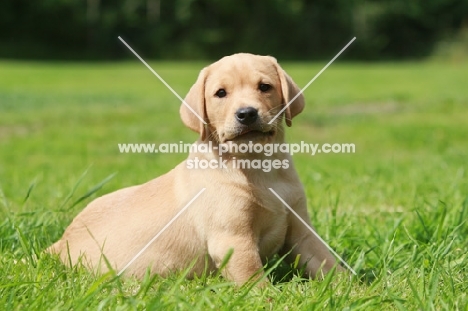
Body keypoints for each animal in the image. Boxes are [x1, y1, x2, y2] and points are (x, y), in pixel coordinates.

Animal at [47, 53, 342, 286]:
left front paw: (350, 289)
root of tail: (58, 244)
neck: (257, 166)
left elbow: (328, 264)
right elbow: (253, 279)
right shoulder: (232, 239)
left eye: (265, 87)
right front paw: (268, 300)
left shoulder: (301, 229)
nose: (246, 113)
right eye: (221, 93)